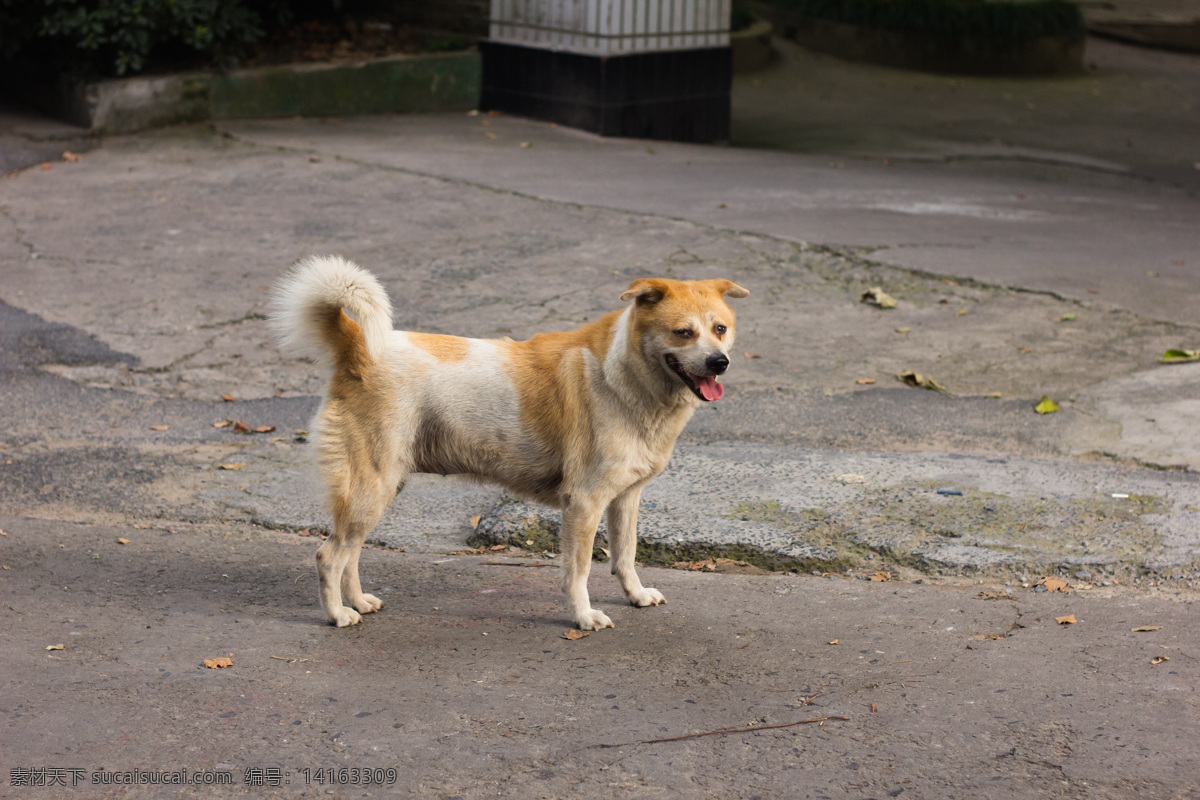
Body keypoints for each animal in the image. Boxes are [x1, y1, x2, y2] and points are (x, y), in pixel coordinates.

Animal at [270, 256, 748, 633]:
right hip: (372, 487)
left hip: (379, 489)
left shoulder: (626, 498)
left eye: (720, 328)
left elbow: (625, 556)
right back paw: (337, 615)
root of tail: (357, 344)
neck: (623, 376)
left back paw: (359, 602)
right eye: (683, 332)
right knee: (328, 554)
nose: (719, 362)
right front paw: (584, 617)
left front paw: (636, 594)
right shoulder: (583, 503)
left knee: (350, 552)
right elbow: (577, 571)